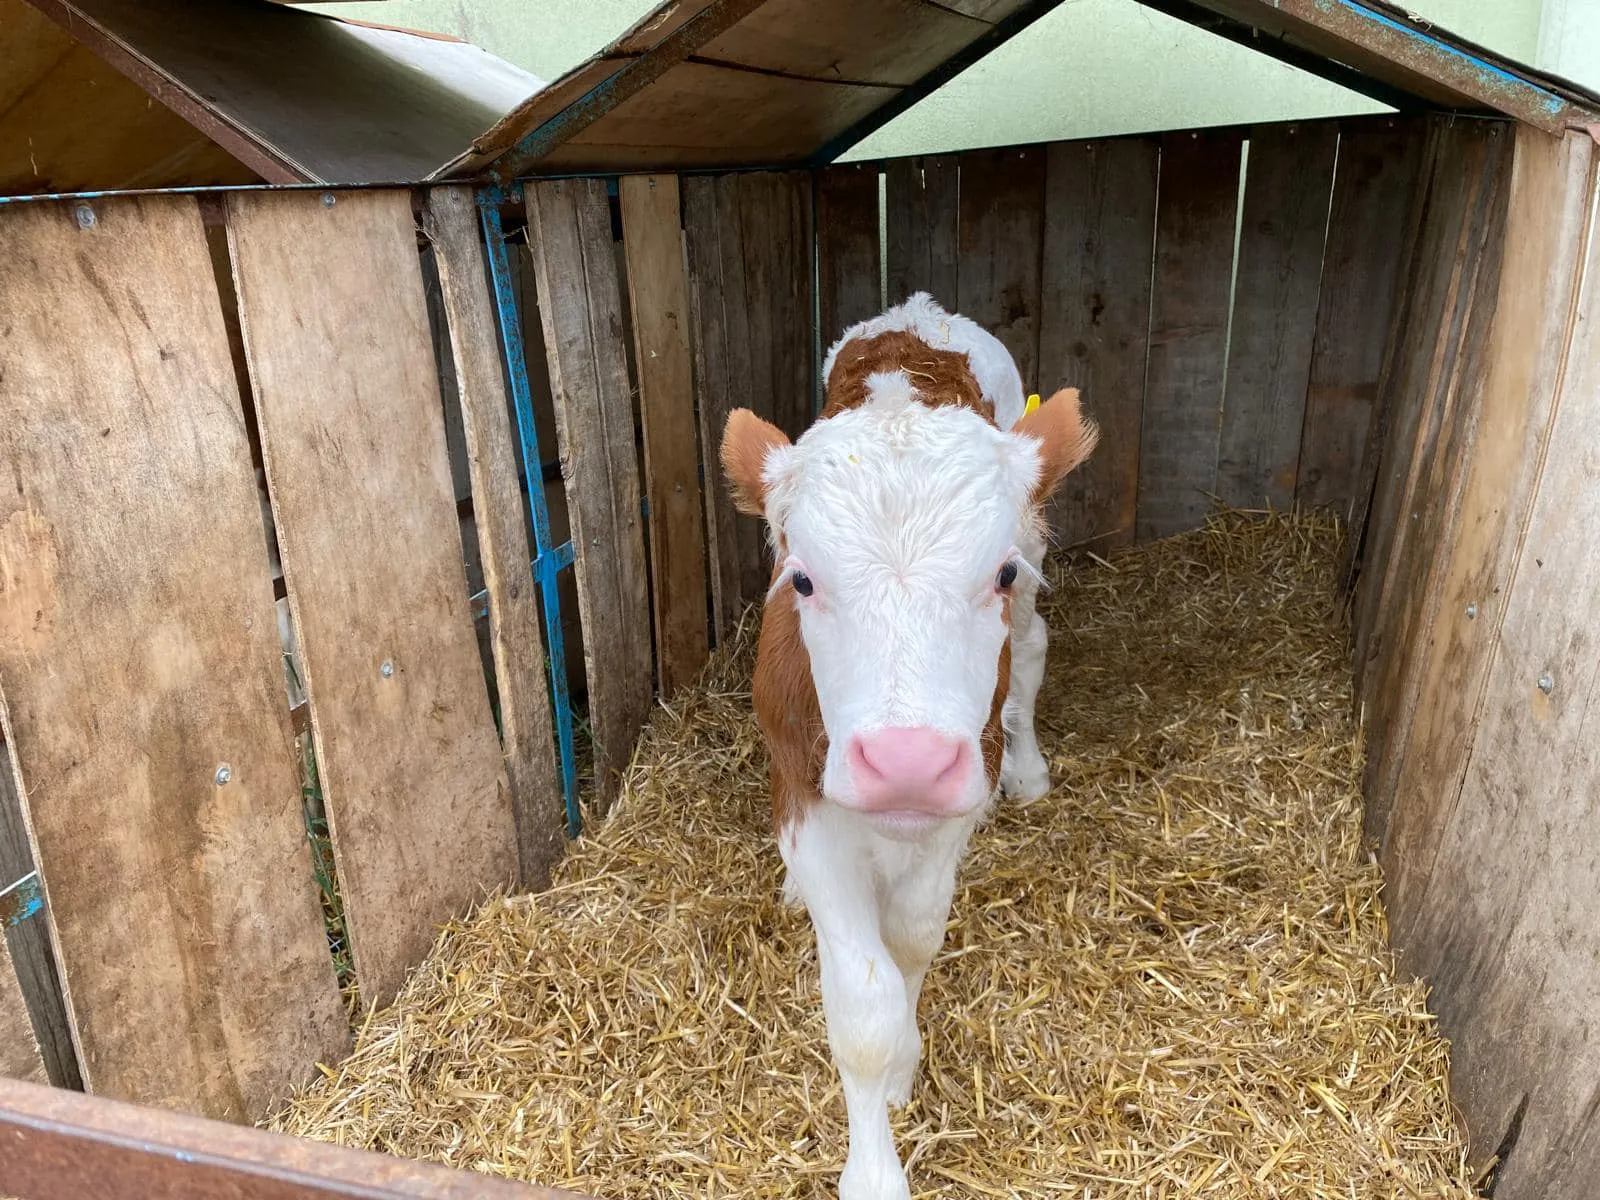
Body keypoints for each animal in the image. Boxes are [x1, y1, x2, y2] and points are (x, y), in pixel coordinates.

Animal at [720, 294, 1094, 1200]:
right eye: (802, 578)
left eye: (996, 572)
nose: (908, 763)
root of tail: (918, 314)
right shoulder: (806, 799)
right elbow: (861, 1009)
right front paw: (874, 1169)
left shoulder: (959, 799)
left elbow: (916, 936)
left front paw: (903, 1069)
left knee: (1034, 647)